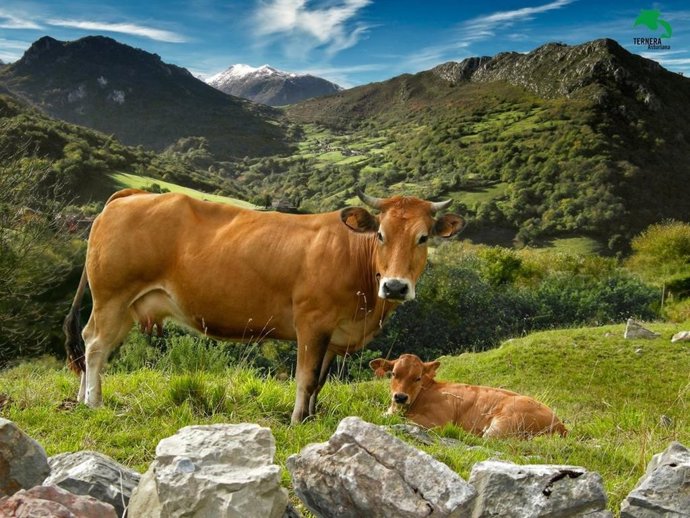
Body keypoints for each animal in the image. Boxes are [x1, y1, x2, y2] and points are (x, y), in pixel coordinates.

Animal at [64, 189, 465, 424]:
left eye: (423, 238)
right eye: (380, 234)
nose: (394, 286)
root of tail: (130, 195)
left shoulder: (334, 335)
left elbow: (320, 381)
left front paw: (312, 418)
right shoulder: (312, 323)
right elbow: (305, 378)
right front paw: (296, 420)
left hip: (128, 306)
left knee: (92, 342)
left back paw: (82, 399)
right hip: (113, 296)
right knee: (95, 346)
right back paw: (94, 403)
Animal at [370, 354, 567, 438]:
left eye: (417, 377)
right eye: (394, 374)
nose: (400, 397)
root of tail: (560, 424)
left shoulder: (438, 421)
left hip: (503, 424)